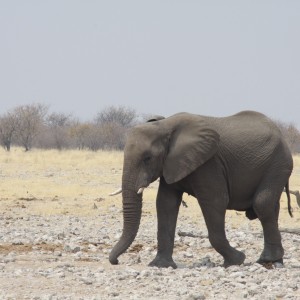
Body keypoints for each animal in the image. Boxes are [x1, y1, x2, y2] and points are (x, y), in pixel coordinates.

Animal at [108, 110, 292, 270]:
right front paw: (160, 265)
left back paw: (267, 261)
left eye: (147, 158)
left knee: (262, 204)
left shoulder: (209, 163)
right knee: (271, 207)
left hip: (279, 164)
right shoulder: (172, 163)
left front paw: (237, 260)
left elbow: (215, 201)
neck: (165, 125)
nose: (115, 261)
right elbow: (165, 203)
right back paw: (274, 261)